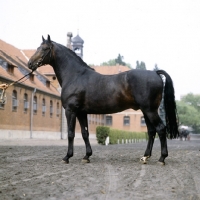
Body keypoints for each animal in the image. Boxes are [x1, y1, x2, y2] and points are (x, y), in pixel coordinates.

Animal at [27, 35, 178, 165]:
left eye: (44, 48)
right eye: (38, 47)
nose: (30, 63)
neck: (75, 75)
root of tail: (155, 73)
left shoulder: (71, 111)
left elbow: (70, 133)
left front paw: (67, 157)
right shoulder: (81, 112)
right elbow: (85, 133)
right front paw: (87, 156)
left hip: (150, 110)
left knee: (160, 129)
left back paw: (162, 158)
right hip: (146, 111)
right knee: (152, 131)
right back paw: (145, 157)